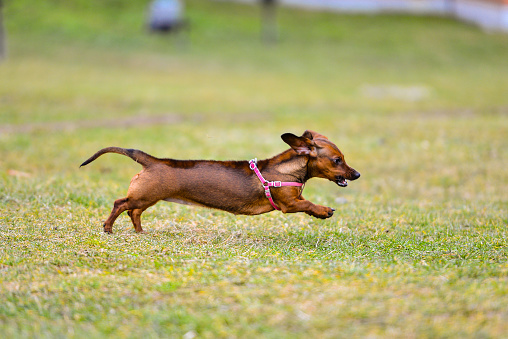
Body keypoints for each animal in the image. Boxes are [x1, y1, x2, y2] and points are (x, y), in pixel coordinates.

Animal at [79, 130, 360, 234]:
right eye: (337, 160)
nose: (356, 174)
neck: (287, 170)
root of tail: (153, 160)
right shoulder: (289, 204)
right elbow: (309, 204)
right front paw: (323, 211)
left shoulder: (294, 199)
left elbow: (307, 202)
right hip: (144, 195)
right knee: (120, 204)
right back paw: (108, 228)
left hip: (148, 197)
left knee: (133, 212)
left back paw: (139, 231)